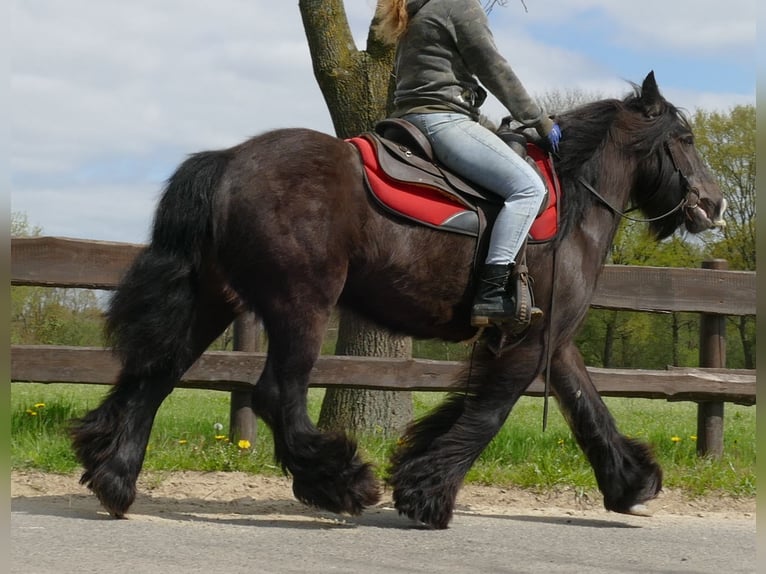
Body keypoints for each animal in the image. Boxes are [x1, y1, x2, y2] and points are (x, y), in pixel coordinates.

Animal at [72, 72, 728, 532]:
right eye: (686, 139)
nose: (715, 203)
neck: (572, 203)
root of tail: (230, 160)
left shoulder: (552, 337)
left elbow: (588, 408)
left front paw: (632, 484)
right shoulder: (529, 339)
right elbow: (489, 414)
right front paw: (426, 494)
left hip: (213, 299)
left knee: (155, 374)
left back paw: (115, 477)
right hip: (300, 305)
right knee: (275, 393)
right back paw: (342, 483)